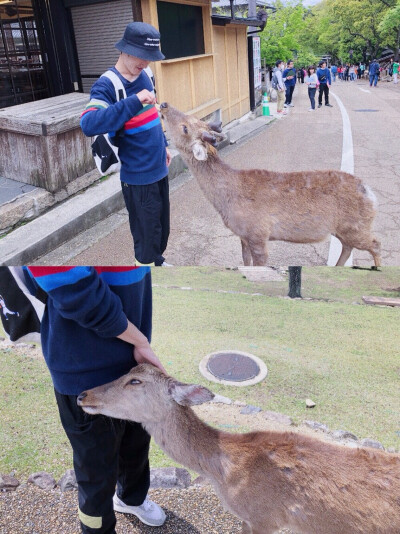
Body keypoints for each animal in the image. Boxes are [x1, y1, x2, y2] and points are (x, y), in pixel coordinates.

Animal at [159, 101, 382, 268]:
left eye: (185, 127)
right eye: (192, 118)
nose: (163, 105)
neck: (227, 199)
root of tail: (371, 194)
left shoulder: (258, 232)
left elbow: (260, 263)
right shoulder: (243, 235)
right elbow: (245, 261)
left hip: (356, 226)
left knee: (375, 243)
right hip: (346, 228)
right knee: (348, 247)